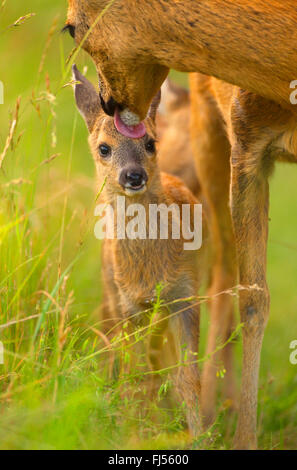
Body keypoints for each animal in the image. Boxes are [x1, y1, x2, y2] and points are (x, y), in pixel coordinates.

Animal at [64, 0, 296, 448]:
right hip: (214, 133)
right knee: (222, 277)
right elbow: (251, 299)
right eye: (103, 148)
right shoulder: (246, 145)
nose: (108, 104)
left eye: (70, 27)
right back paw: (211, 409)